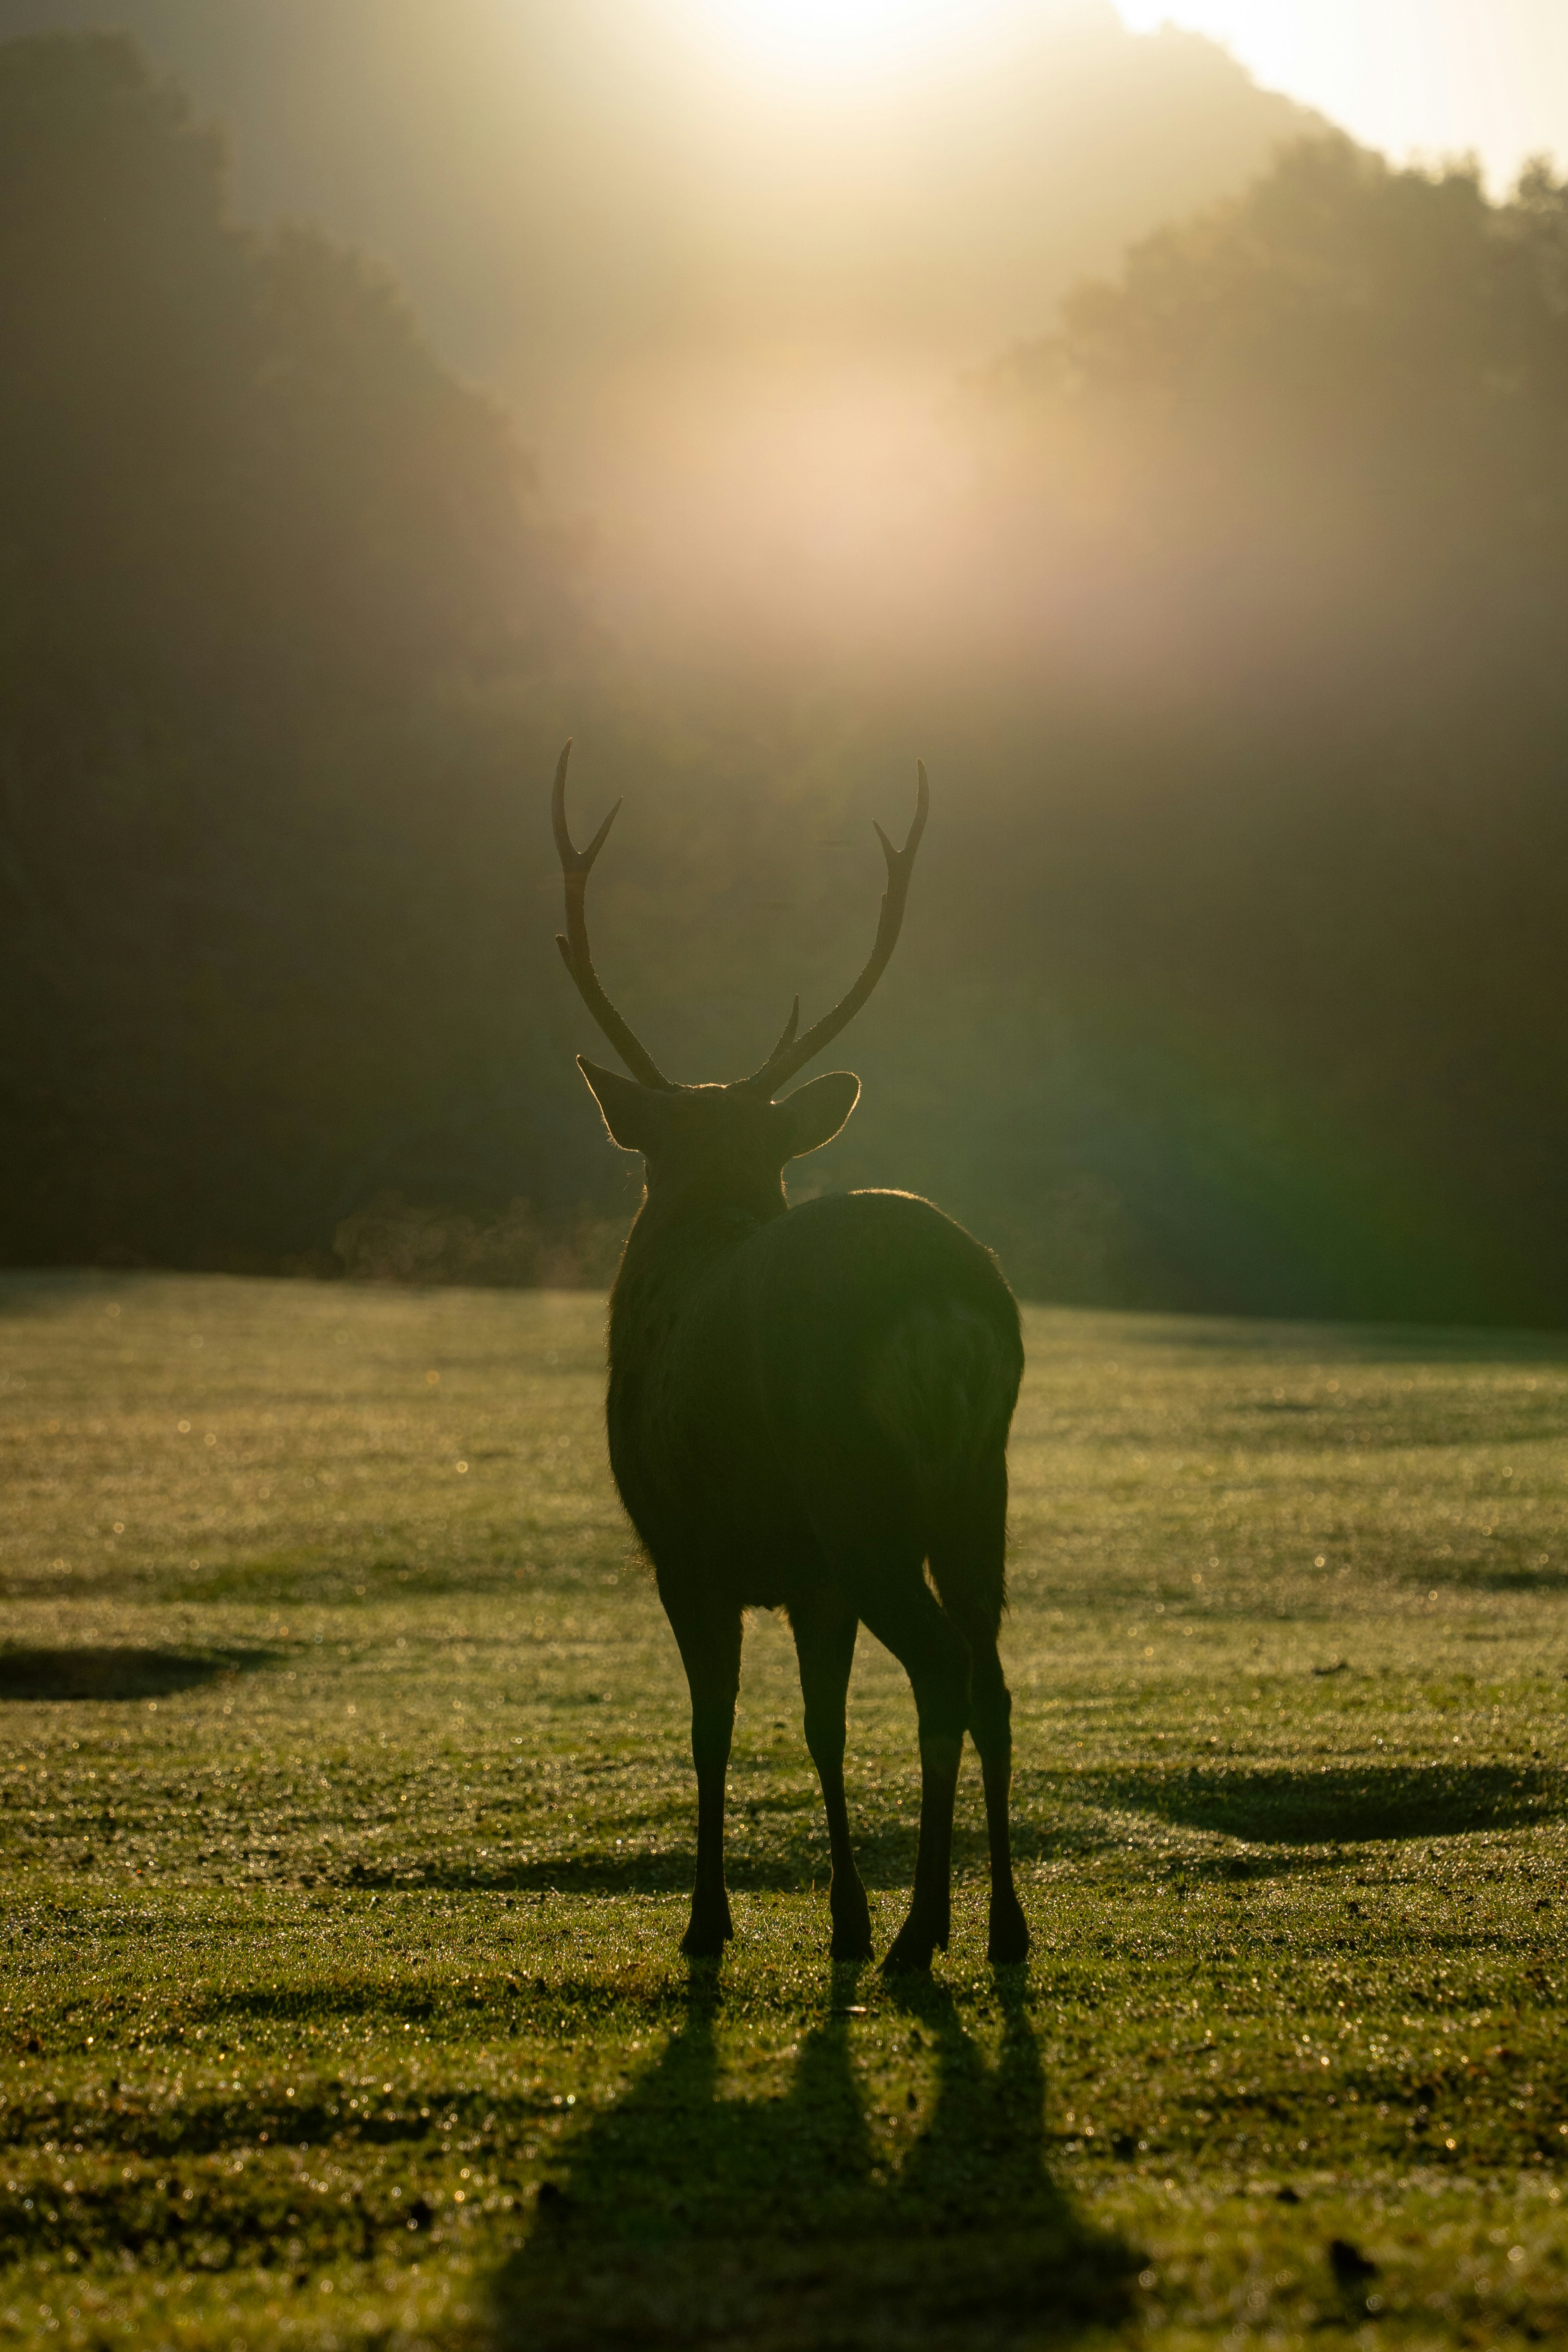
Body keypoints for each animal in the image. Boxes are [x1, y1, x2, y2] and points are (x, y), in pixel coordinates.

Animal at [552, 743, 1029, 1976]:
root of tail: (944, 1309)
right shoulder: (803, 1574)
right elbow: (820, 1724)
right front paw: (842, 1917)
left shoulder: (683, 1547)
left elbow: (712, 1726)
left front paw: (709, 1920)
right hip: (980, 1488)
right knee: (993, 1675)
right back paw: (1001, 1927)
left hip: (857, 1484)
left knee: (943, 1668)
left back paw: (923, 1934)